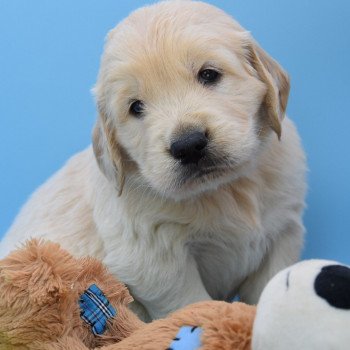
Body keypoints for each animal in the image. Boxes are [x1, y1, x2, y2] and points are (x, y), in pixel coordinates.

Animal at [0, 0, 306, 320]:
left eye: (209, 74)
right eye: (136, 107)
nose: (189, 145)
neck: (223, 189)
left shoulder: (283, 232)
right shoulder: (155, 260)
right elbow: (192, 303)